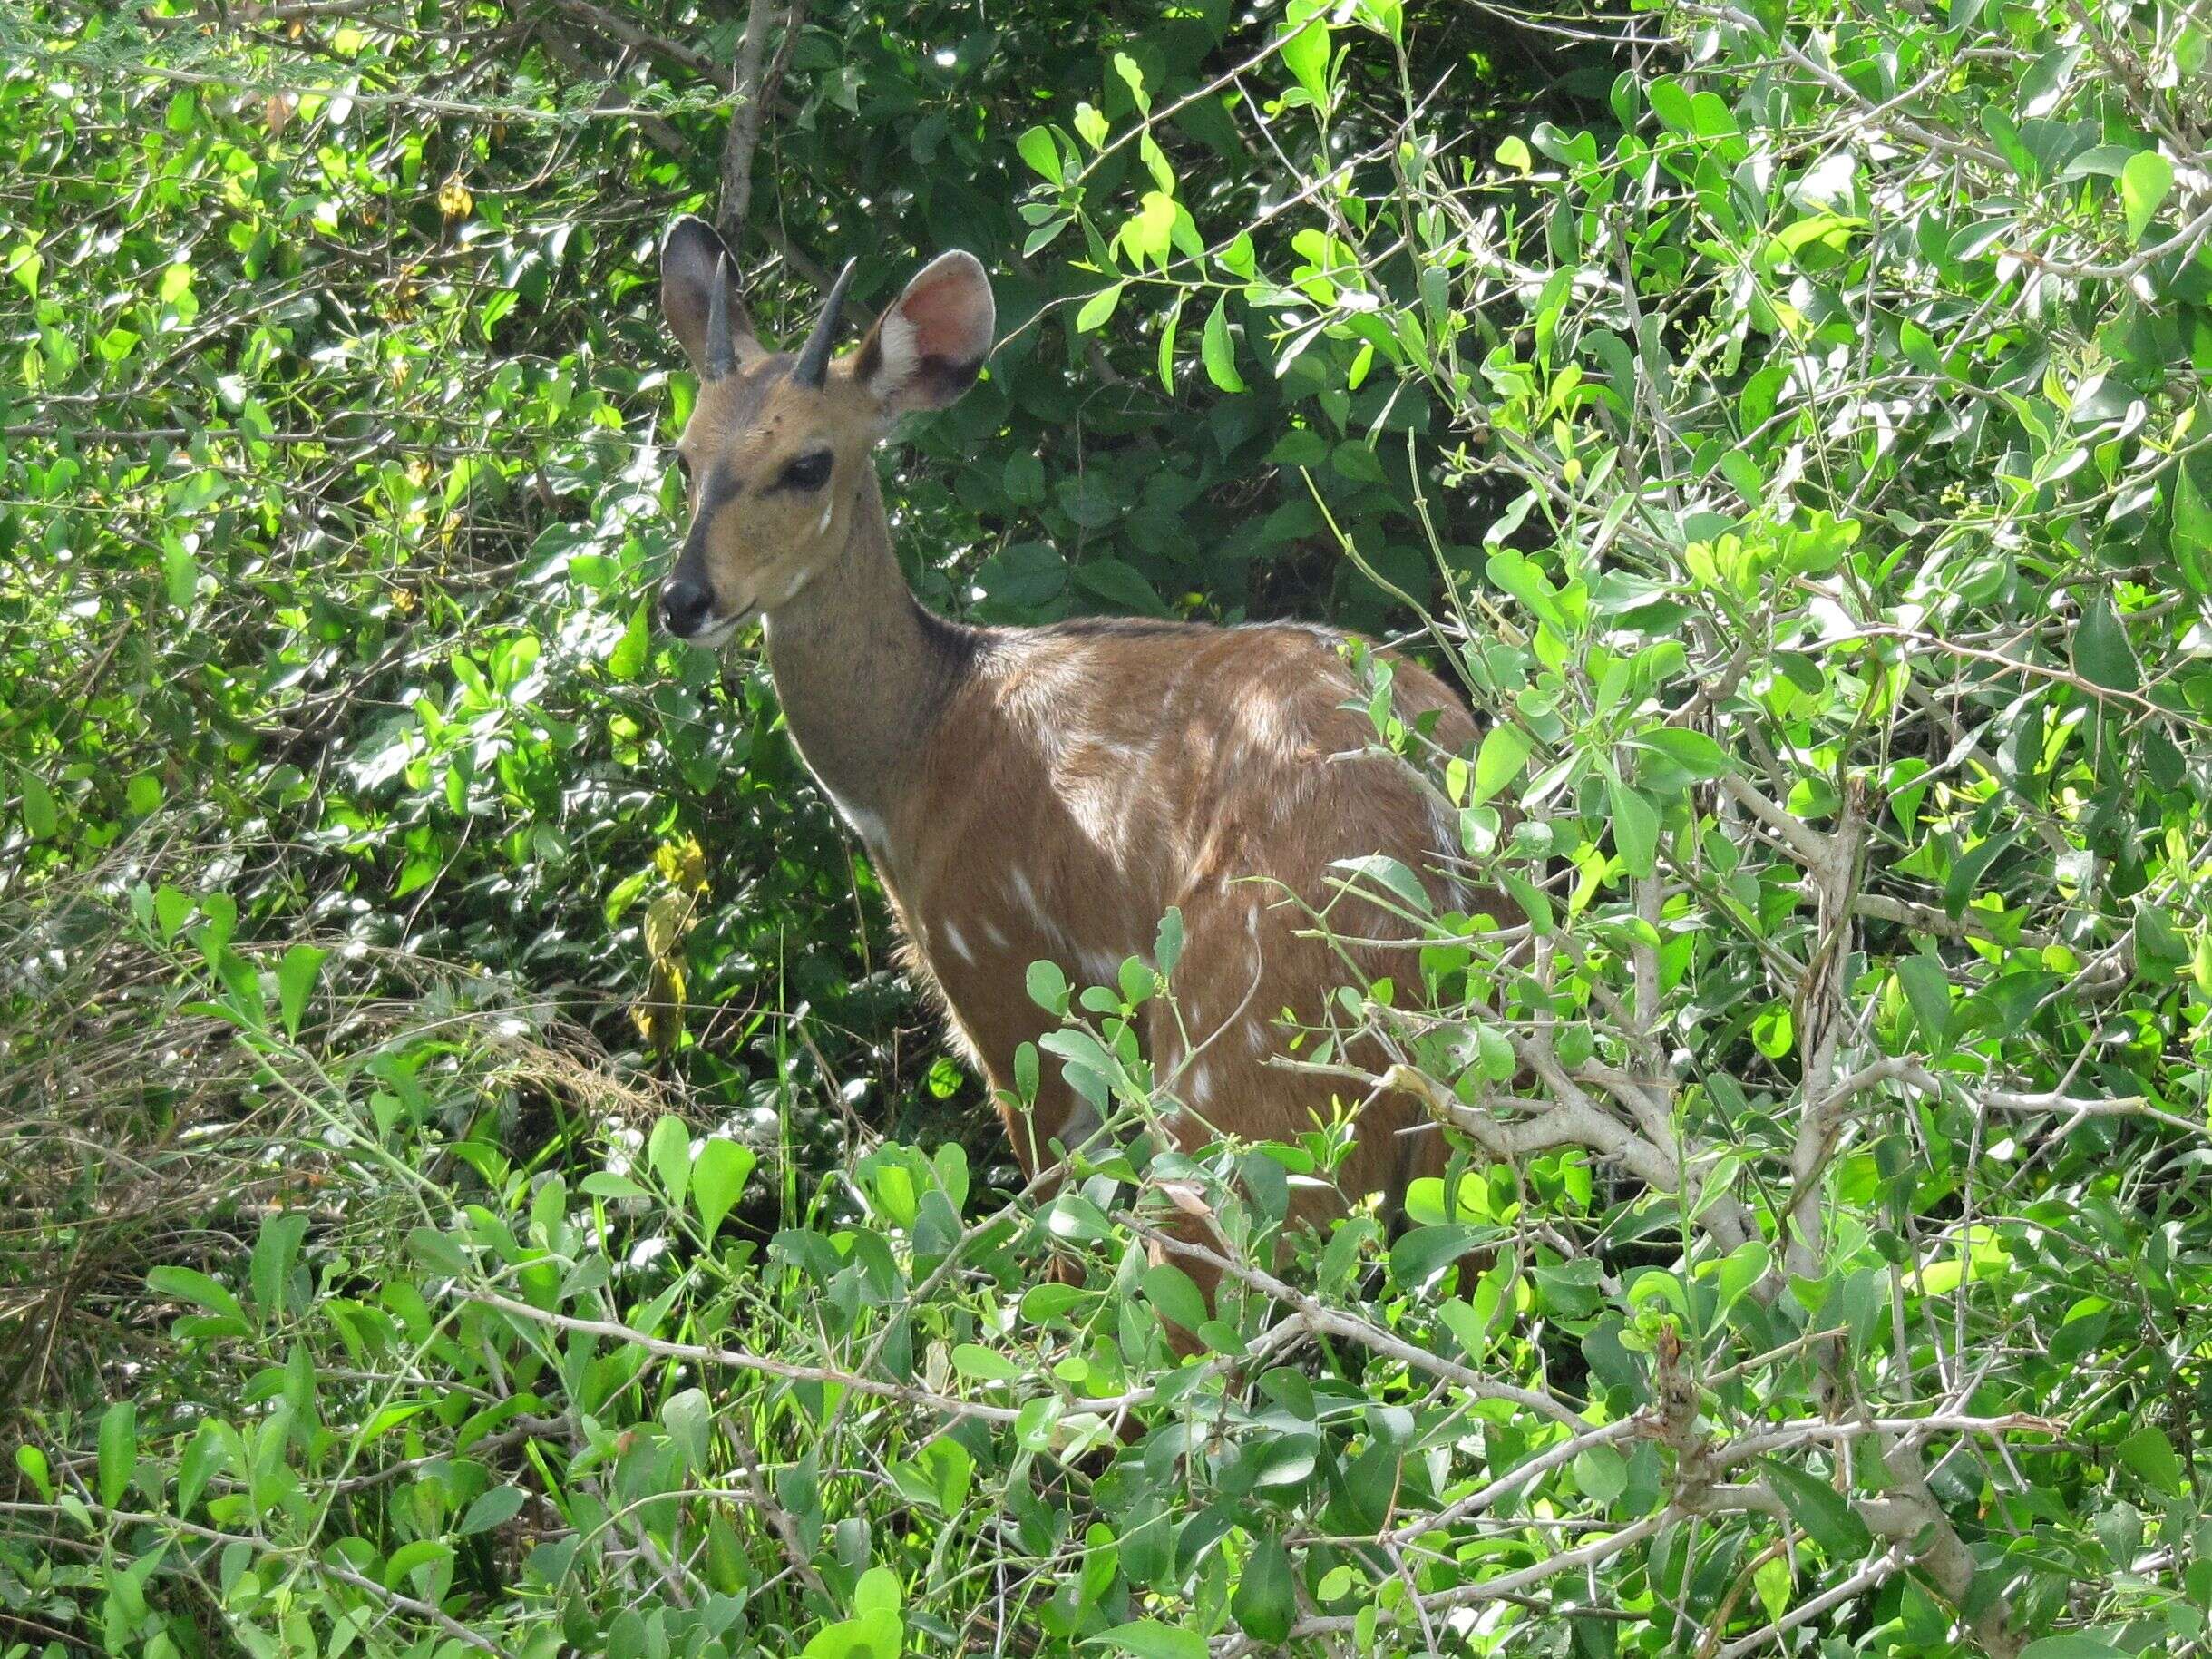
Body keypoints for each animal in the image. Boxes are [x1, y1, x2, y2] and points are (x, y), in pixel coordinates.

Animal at [654, 218, 1486, 1283]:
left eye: (809, 462)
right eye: (684, 456)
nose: (684, 600)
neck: (914, 755)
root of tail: (1442, 870)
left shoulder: (1003, 977)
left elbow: (1058, 1221)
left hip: (1236, 1083)